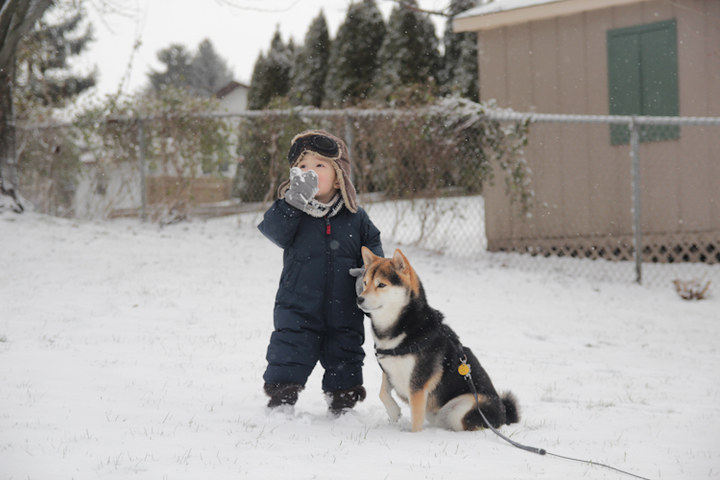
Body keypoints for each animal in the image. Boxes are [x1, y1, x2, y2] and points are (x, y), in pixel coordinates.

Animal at [358, 248, 516, 432]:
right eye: (365, 283)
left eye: (381, 285)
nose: (359, 299)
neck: (403, 326)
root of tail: (504, 413)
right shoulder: (389, 370)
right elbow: (382, 392)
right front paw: (394, 412)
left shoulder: (418, 386)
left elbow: (415, 421)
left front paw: (413, 435)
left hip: (463, 408)